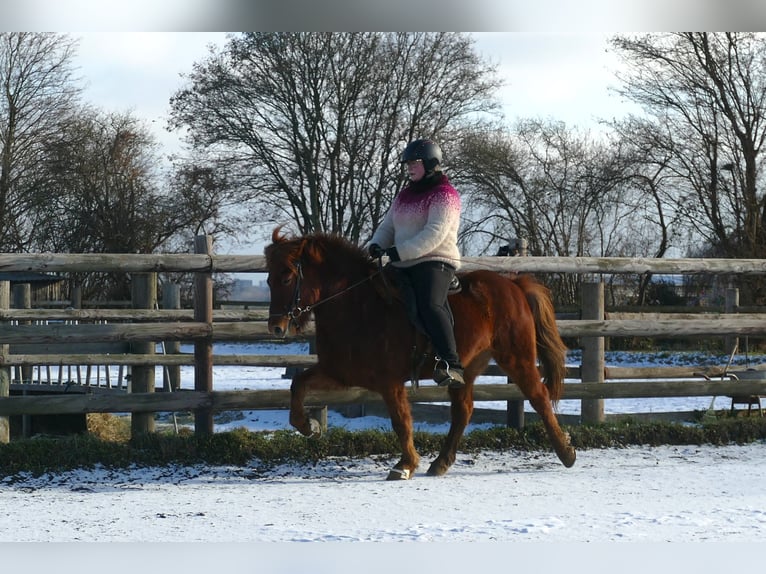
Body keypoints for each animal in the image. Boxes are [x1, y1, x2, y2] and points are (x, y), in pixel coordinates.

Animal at [264, 227, 576, 480]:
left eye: (287, 277)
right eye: (268, 279)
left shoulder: (390, 383)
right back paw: (441, 463)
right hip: (468, 368)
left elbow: (401, 422)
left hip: (517, 358)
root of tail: (513, 285)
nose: (276, 327)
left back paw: (566, 452)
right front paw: (309, 426)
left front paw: (405, 465)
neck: (358, 306)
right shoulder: (339, 374)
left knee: (539, 397)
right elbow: (298, 385)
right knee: (463, 410)